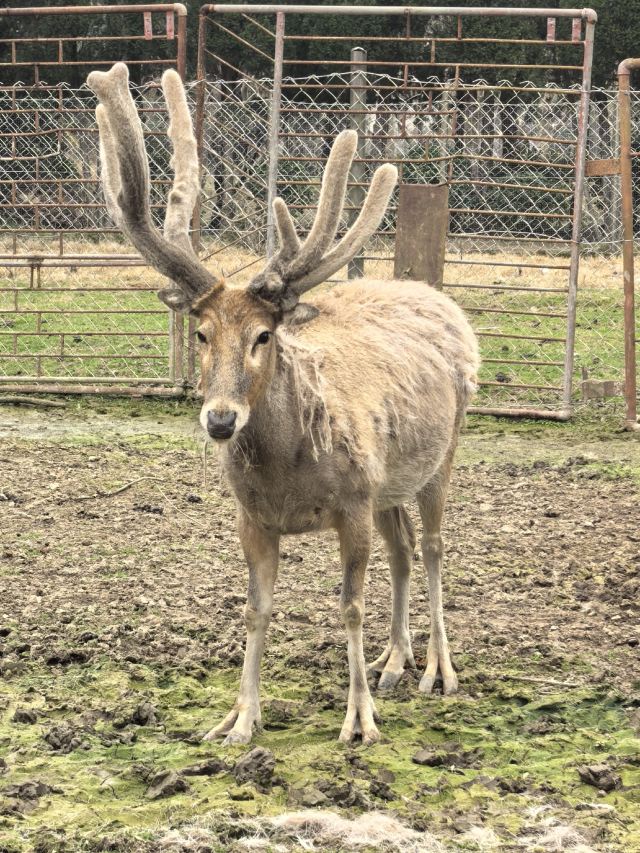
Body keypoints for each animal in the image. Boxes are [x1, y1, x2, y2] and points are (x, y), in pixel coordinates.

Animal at [87, 63, 479, 747]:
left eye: (263, 336)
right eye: (201, 334)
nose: (220, 419)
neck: (289, 475)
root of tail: (445, 306)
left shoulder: (351, 504)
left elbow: (349, 606)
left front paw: (358, 722)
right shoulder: (256, 516)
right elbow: (255, 610)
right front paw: (239, 720)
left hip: (441, 455)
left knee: (432, 548)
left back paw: (437, 671)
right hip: (388, 485)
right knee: (404, 549)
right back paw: (393, 662)